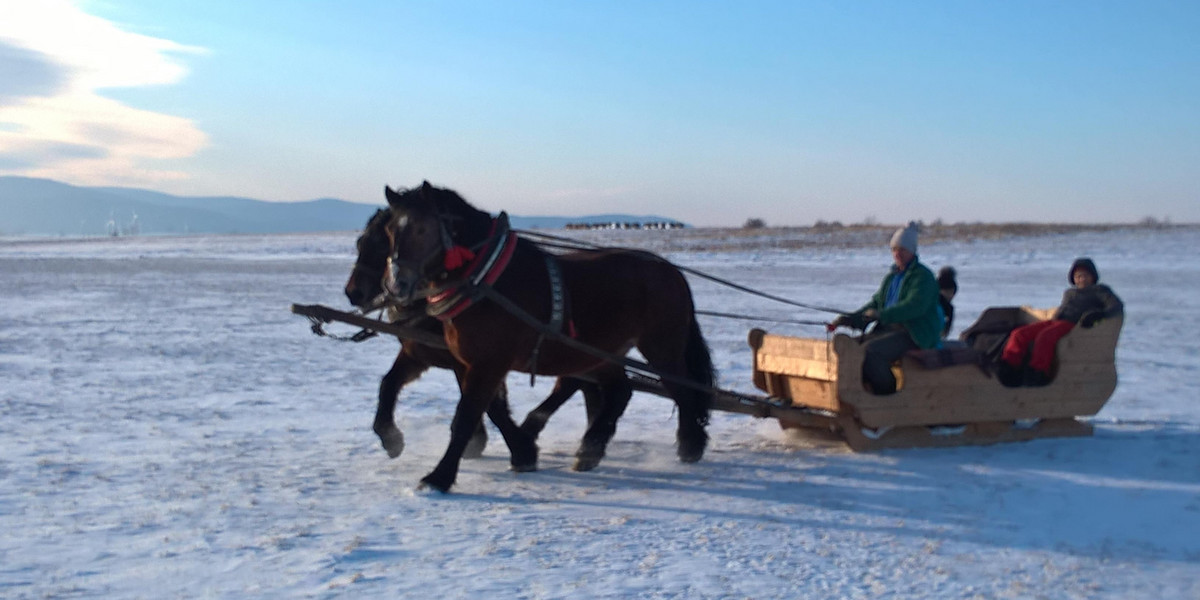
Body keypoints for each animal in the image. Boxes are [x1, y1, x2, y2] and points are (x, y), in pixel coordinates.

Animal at [381, 181, 710, 492]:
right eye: (390, 230)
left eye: (422, 228)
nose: (397, 285)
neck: (485, 280)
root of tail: (672, 272)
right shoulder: (464, 362)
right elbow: (482, 409)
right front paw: (521, 451)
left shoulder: (488, 363)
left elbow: (467, 416)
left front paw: (439, 477)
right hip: (602, 351)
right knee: (620, 391)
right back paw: (591, 448)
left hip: (660, 347)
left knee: (682, 389)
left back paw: (690, 444)